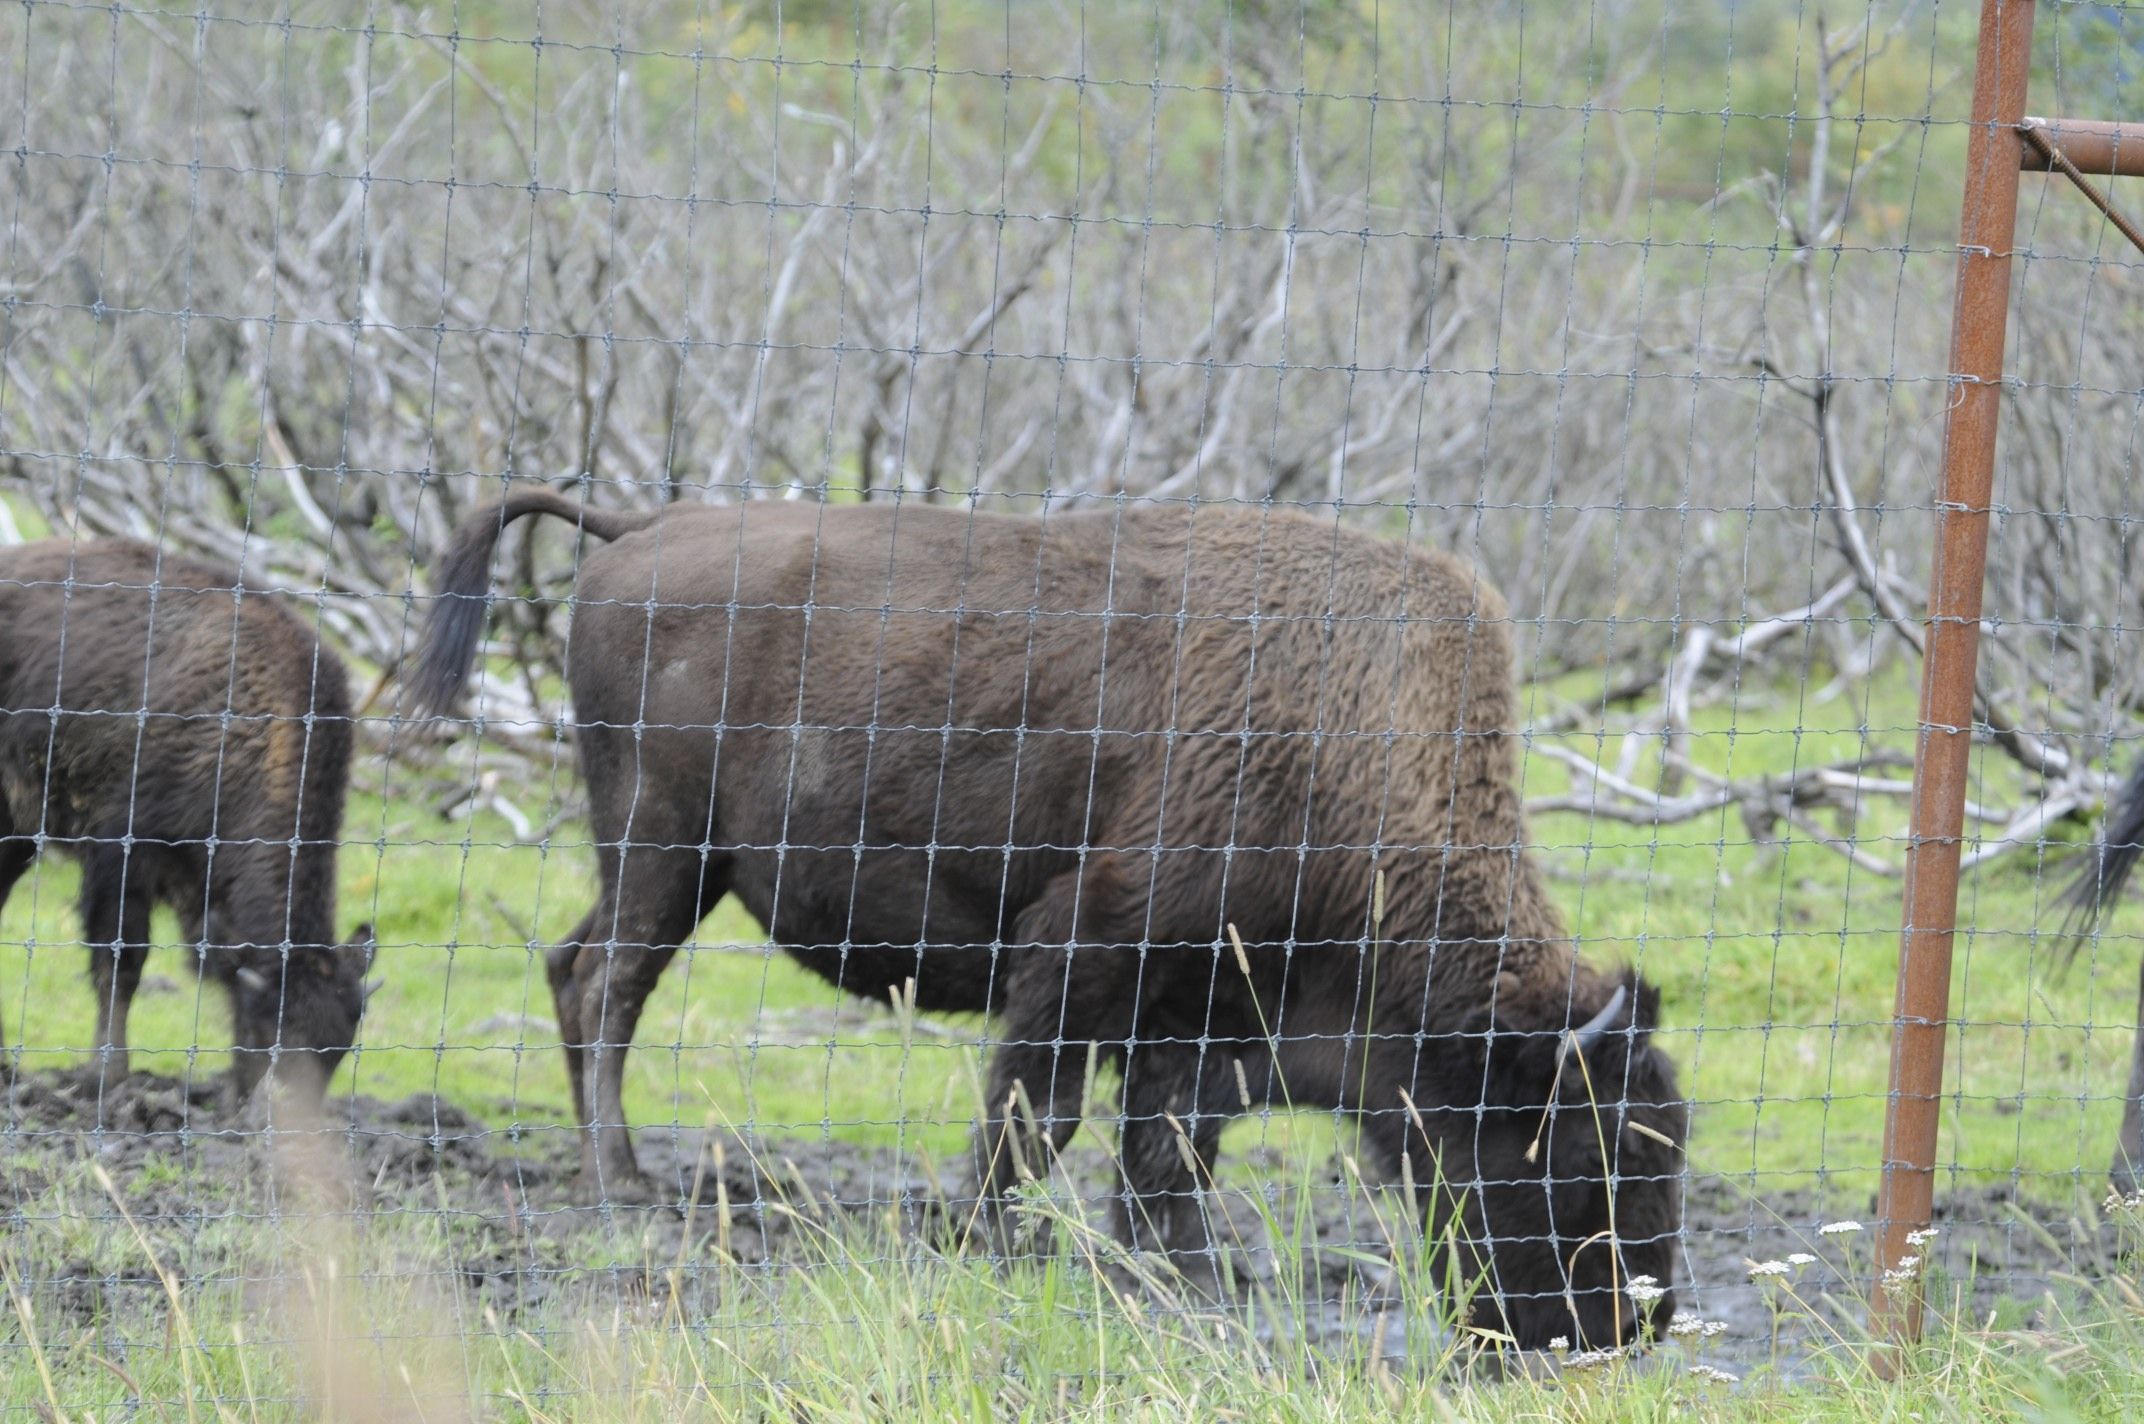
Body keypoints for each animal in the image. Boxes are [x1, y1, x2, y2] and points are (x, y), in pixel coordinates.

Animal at [418, 495, 1680, 1355]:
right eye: (1584, 1147)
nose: (1624, 1322)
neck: (1348, 739)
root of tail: (641, 527)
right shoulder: (1084, 949)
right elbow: (1040, 1114)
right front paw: (988, 1238)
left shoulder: (1196, 1013)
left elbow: (1164, 1148)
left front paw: (1187, 1269)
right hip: (664, 847)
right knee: (607, 985)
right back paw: (622, 1181)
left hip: (669, 863)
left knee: (572, 965)